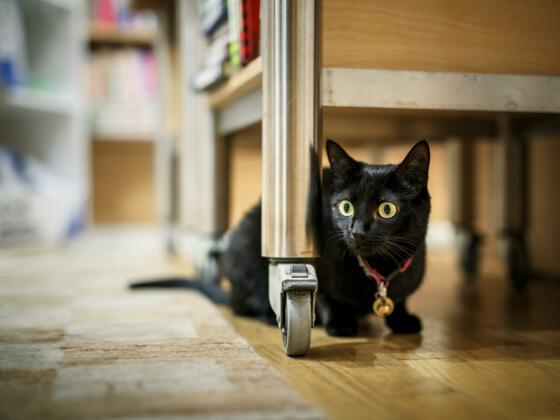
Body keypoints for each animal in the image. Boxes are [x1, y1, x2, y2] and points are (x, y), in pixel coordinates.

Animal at [131, 139, 431, 336]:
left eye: (387, 209)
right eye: (346, 207)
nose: (356, 230)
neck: (381, 268)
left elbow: (400, 298)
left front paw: (402, 318)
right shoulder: (317, 260)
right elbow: (325, 296)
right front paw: (339, 322)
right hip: (246, 242)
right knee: (246, 304)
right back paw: (269, 312)